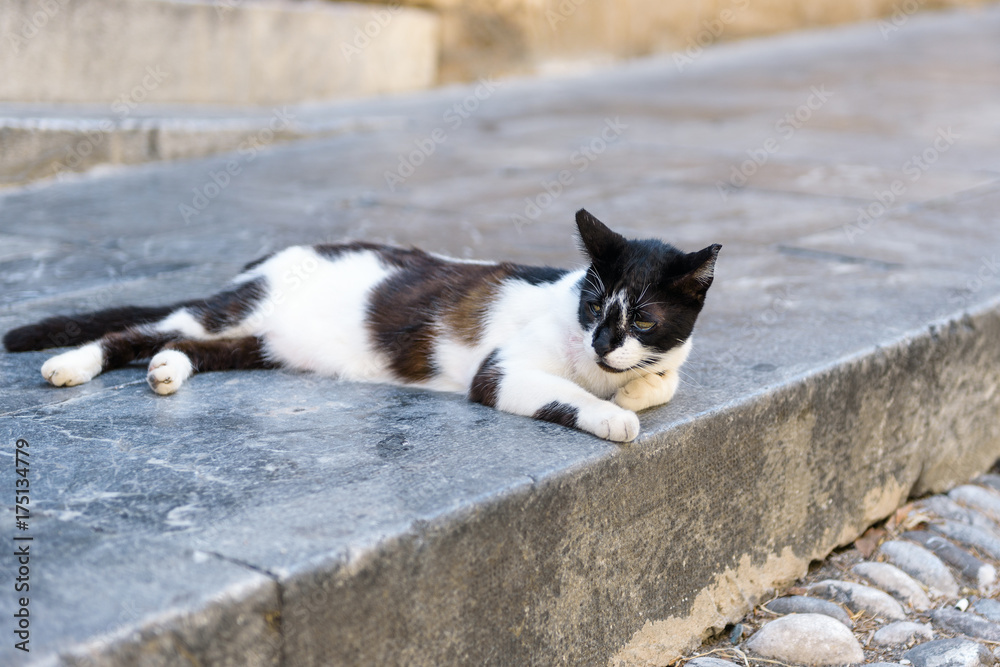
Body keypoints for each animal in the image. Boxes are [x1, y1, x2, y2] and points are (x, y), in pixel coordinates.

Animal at [0, 211, 720, 444]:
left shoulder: (663, 359)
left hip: (261, 344)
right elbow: (567, 395)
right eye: (594, 307)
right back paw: (71, 365)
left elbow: (667, 380)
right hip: (233, 309)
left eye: (642, 318)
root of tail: (270, 257)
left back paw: (168, 370)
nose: (601, 343)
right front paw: (614, 414)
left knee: (189, 346)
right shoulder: (502, 370)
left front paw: (636, 390)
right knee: (140, 331)